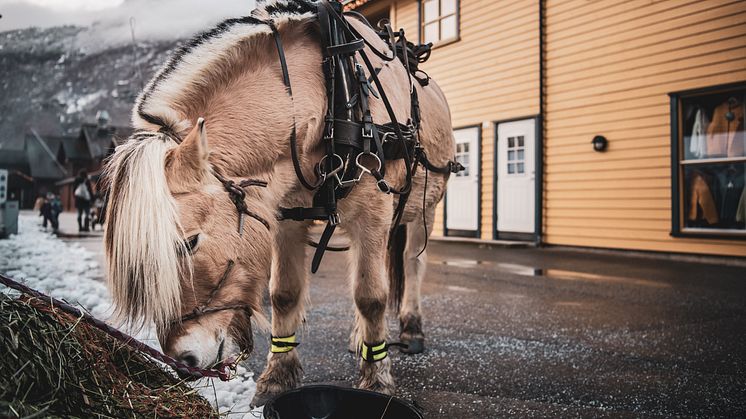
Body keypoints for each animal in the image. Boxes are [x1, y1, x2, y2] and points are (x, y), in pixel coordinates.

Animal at [102, 0, 456, 406]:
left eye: (188, 243)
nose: (183, 361)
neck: (331, 90)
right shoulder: (286, 218)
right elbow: (285, 294)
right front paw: (278, 377)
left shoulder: (372, 214)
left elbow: (371, 296)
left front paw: (377, 380)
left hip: (423, 209)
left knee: (411, 263)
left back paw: (411, 329)